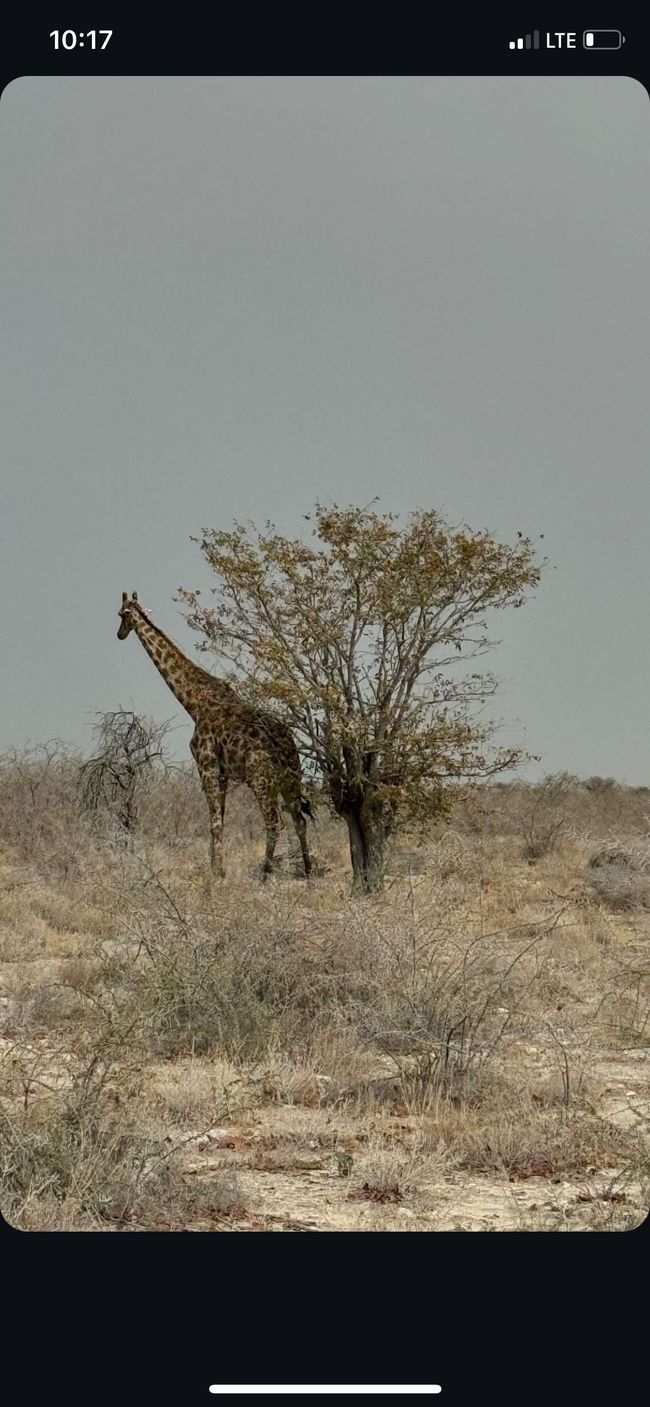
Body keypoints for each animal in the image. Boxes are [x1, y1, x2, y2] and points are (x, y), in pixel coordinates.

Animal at [117, 585, 315, 872]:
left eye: (121, 614)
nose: (119, 634)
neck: (195, 702)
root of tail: (286, 744)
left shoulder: (207, 765)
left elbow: (214, 823)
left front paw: (218, 872)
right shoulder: (222, 773)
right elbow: (220, 819)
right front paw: (215, 866)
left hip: (260, 779)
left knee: (273, 822)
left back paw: (266, 872)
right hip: (291, 778)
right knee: (299, 820)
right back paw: (308, 871)